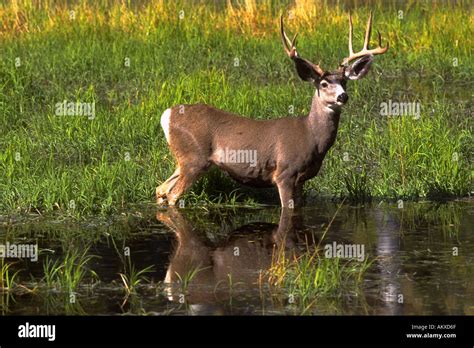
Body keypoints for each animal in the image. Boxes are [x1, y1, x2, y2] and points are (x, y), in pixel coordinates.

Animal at [157, 12, 386, 207]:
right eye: (323, 84)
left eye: (345, 82)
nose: (342, 96)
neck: (311, 136)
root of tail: (167, 114)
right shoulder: (285, 173)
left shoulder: (302, 179)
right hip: (194, 159)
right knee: (172, 195)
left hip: (183, 160)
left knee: (160, 189)